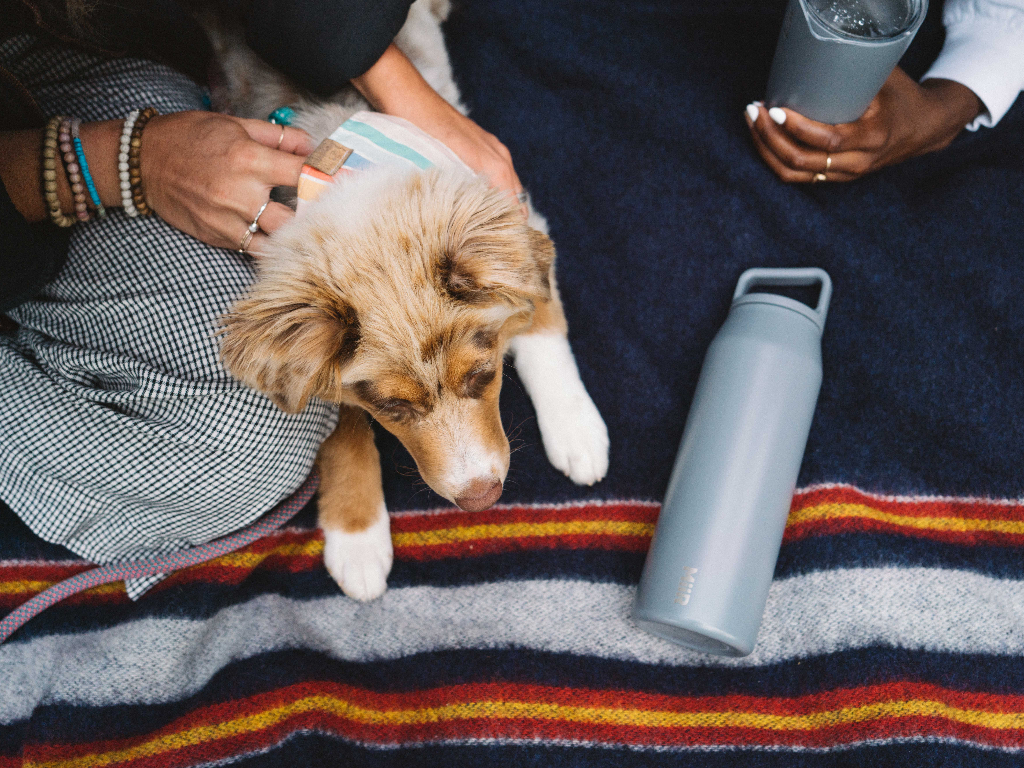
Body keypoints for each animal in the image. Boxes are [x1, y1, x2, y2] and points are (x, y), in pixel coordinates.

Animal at [210, 1, 602, 602]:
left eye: (484, 374)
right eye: (392, 408)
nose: (481, 499)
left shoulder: (506, 202)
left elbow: (537, 309)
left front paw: (576, 427)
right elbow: (339, 431)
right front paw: (357, 537)